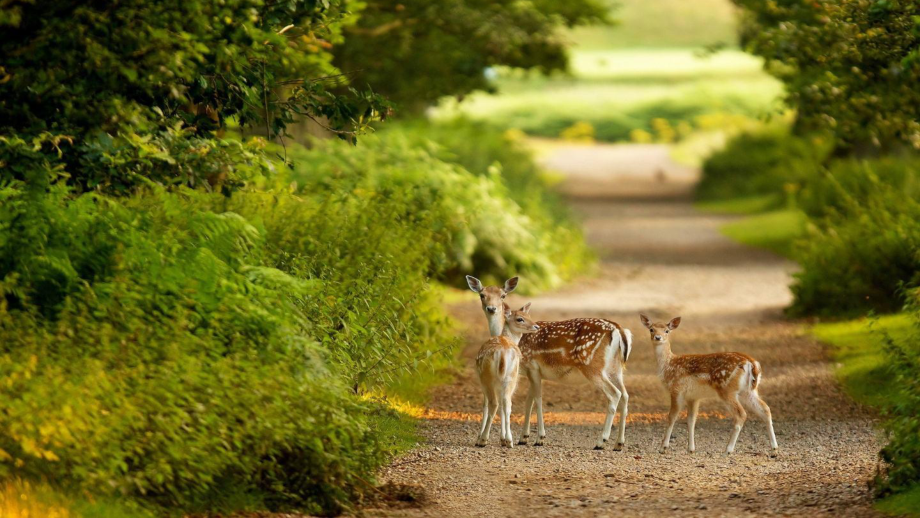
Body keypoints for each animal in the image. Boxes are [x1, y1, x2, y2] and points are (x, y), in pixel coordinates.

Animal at [474, 306, 540, 448]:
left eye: (529, 316)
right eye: (520, 318)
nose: (536, 326)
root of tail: (503, 353)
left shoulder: (484, 382)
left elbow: (485, 406)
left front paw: (479, 438)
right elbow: (503, 408)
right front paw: (503, 439)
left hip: (487, 378)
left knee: (493, 404)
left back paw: (483, 440)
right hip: (511, 377)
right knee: (507, 404)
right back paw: (509, 441)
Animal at [640, 314, 776, 458]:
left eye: (667, 331)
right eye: (651, 329)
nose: (658, 337)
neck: (668, 365)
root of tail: (751, 363)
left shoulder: (676, 390)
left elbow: (672, 417)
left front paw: (663, 448)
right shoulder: (693, 397)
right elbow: (691, 420)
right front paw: (691, 449)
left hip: (726, 389)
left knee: (741, 414)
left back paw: (728, 450)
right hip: (749, 391)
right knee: (765, 409)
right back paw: (774, 449)